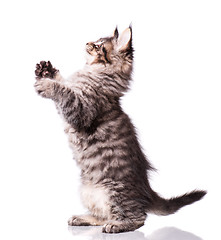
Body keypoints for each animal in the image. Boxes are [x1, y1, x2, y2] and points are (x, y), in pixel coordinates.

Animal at [33, 26, 206, 234]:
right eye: (95, 41)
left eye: (99, 45)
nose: (87, 43)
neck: (96, 72)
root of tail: (147, 191)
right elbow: (65, 82)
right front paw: (46, 71)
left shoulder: (81, 110)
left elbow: (63, 91)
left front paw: (46, 84)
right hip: (88, 191)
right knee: (103, 216)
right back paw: (83, 218)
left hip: (114, 189)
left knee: (138, 217)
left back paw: (117, 225)